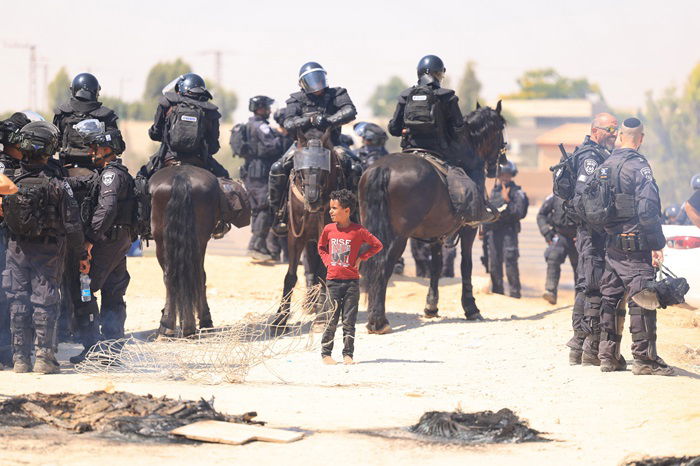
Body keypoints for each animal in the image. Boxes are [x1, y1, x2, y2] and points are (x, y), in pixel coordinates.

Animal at [360, 103, 504, 334]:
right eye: (501, 128)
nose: (499, 163)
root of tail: (383, 168)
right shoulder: (469, 229)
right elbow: (465, 265)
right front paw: (471, 308)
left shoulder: (437, 232)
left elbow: (435, 267)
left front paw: (431, 306)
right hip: (398, 237)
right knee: (382, 265)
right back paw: (378, 321)